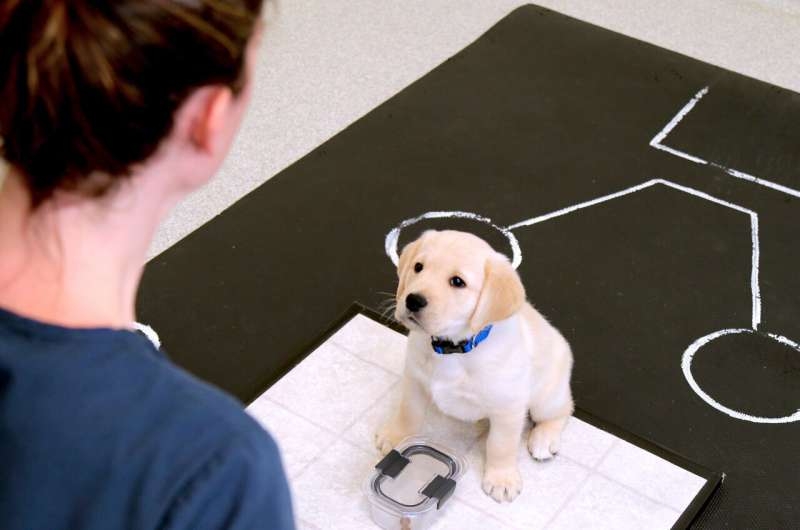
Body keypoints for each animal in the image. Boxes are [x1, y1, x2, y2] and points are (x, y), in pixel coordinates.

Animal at [378, 228, 572, 500]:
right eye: (418, 267)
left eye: (457, 282)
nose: (413, 300)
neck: (453, 349)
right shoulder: (414, 380)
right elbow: (408, 412)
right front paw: (396, 436)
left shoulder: (508, 407)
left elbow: (501, 445)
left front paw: (502, 478)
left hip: (546, 395)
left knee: (563, 410)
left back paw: (543, 439)